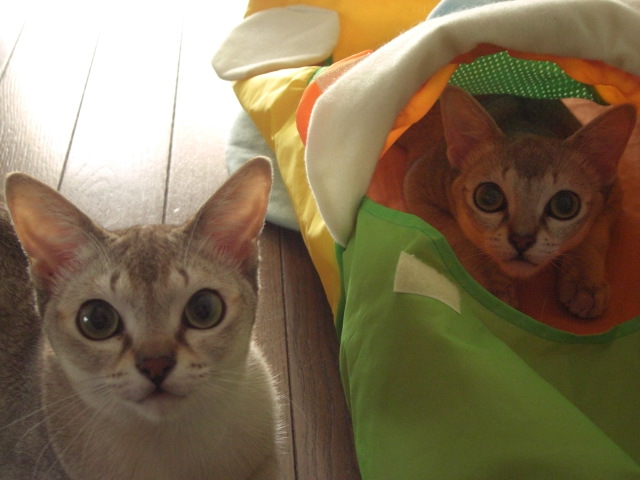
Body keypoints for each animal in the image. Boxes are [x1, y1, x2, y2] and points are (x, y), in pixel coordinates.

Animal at [402, 85, 637, 318]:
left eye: (565, 205)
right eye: (488, 197)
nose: (521, 240)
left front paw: (585, 283)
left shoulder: (614, 193)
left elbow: (595, 236)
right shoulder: (417, 182)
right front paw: (491, 284)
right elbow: (456, 234)